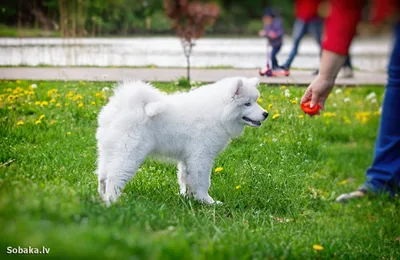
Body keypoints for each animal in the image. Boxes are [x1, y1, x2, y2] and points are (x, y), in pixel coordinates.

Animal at [95, 77, 268, 205]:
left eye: (256, 101)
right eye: (247, 103)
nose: (266, 114)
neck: (218, 112)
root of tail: (123, 105)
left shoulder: (188, 158)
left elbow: (186, 179)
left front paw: (189, 198)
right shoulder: (201, 156)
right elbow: (202, 181)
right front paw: (208, 202)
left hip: (108, 152)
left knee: (102, 176)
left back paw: (103, 200)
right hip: (129, 154)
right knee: (114, 177)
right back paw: (114, 202)